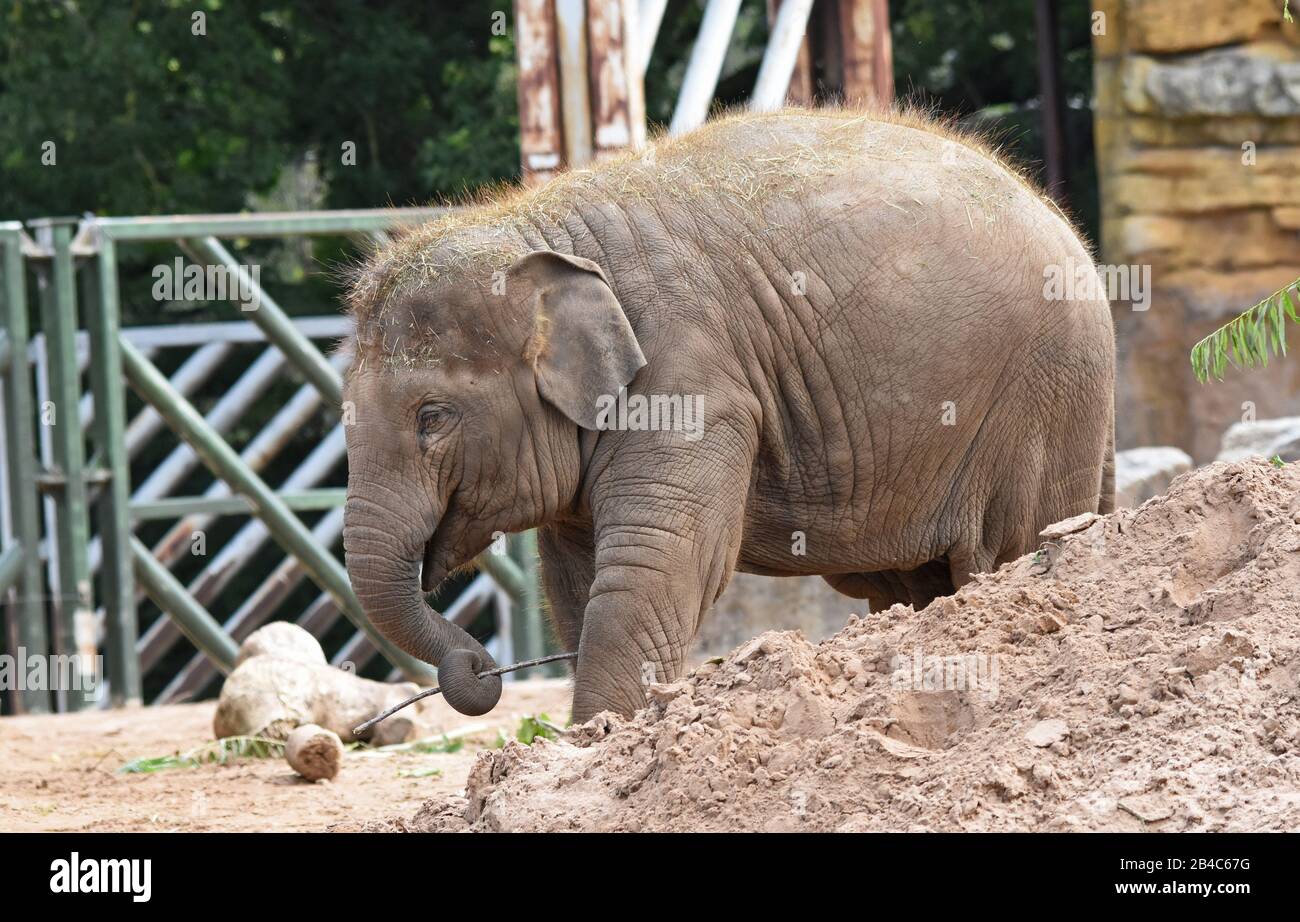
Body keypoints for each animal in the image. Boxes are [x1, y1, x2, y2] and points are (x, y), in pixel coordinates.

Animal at [341, 108, 1115, 723]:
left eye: (433, 417)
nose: (480, 671)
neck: (533, 224)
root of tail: (1062, 218)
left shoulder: (691, 382)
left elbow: (651, 567)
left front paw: (597, 738)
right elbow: (575, 584)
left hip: (1046, 395)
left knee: (1009, 545)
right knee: (912, 580)